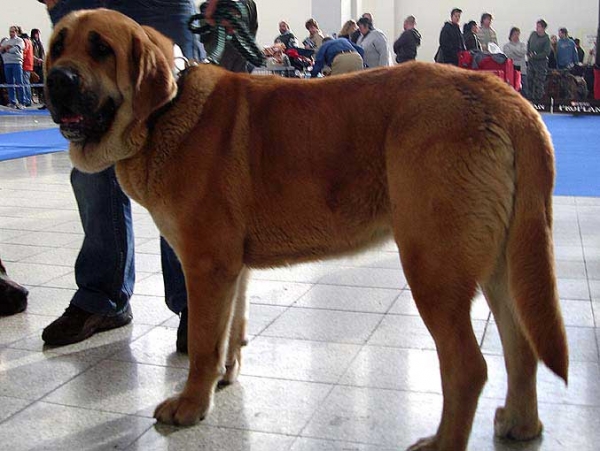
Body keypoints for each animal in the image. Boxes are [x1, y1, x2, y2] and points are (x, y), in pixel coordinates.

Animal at [45, 7, 568, 451]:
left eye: (101, 48)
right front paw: (224, 377)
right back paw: (520, 424)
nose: (56, 79)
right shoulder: (232, 270)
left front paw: (192, 404)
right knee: (521, 348)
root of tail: (507, 97)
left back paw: (443, 442)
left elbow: (202, 342)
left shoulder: (206, 265)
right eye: (58, 44)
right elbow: (229, 331)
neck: (164, 112)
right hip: (503, 266)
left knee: (469, 367)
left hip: (433, 268)